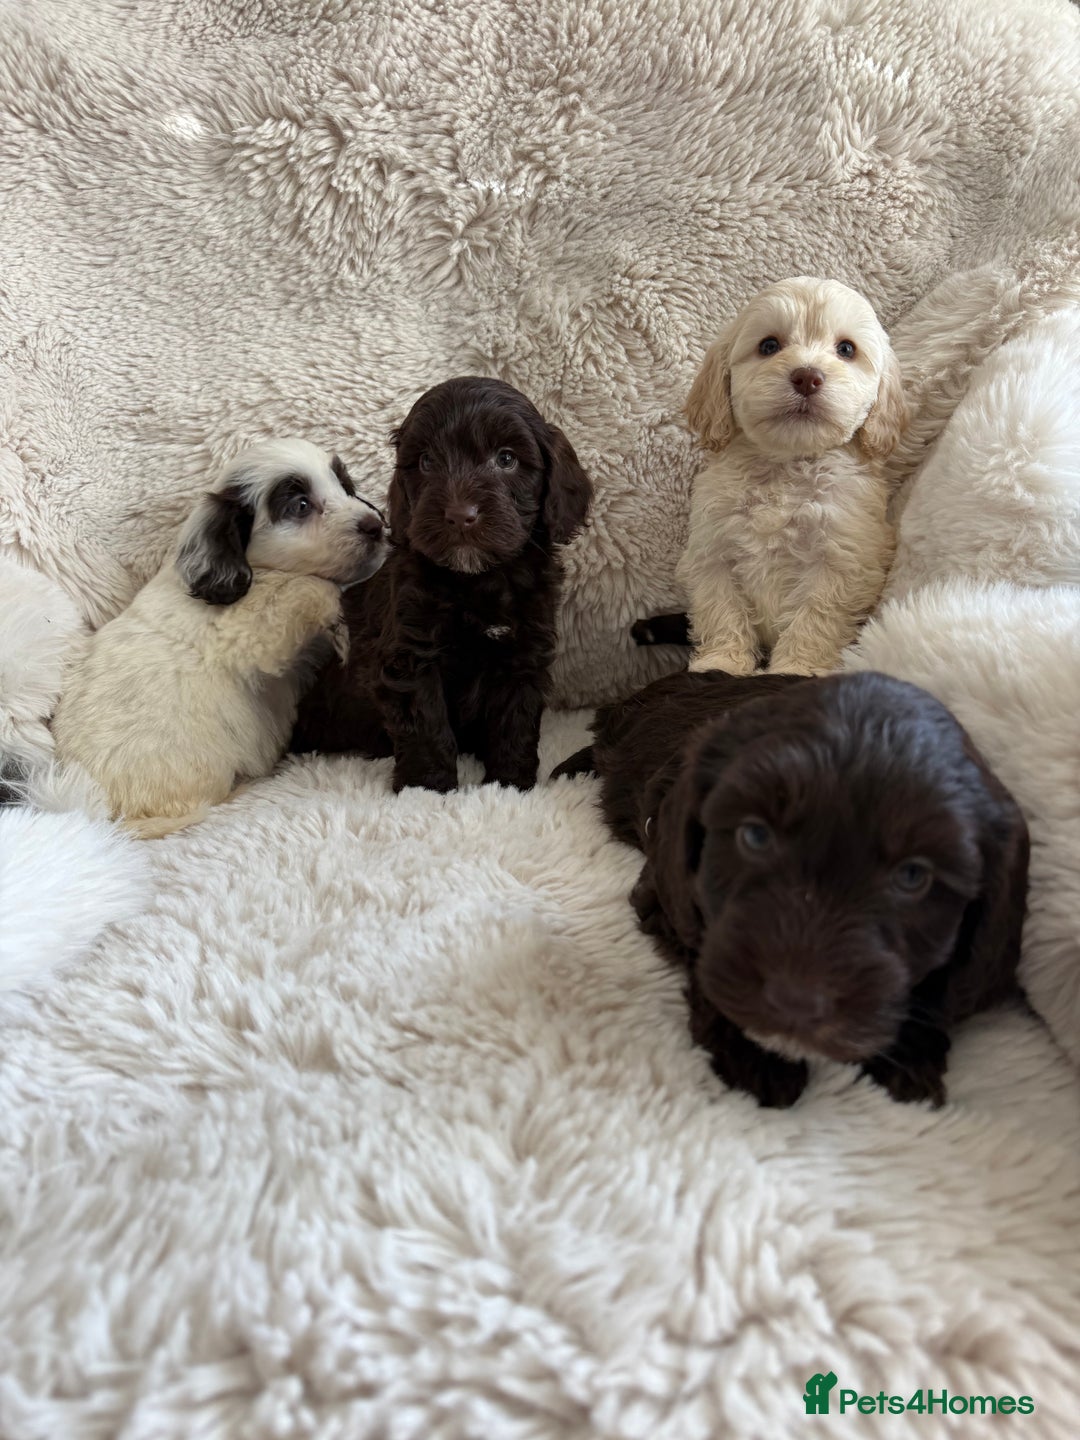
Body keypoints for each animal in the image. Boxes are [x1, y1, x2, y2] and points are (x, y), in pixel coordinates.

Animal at [51, 440, 389, 837]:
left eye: (346, 487)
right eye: (301, 505)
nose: (375, 526)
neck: (253, 572)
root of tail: (97, 813)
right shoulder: (256, 632)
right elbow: (312, 584)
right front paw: (341, 629)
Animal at [291, 377, 593, 793]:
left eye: (506, 459)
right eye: (426, 462)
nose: (459, 515)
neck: (478, 579)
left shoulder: (522, 653)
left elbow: (515, 720)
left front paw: (510, 783)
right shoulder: (411, 653)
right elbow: (426, 723)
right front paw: (426, 788)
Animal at [553, 669, 1029, 1108]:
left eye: (914, 876)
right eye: (755, 836)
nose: (797, 1002)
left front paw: (910, 1049)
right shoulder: (666, 892)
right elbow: (710, 949)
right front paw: (755, 1057)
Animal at [674, 276, 907, 676]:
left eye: (846, 349)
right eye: (769, 346)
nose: (807, 376)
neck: (785, 464)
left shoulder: (841, 558)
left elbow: (815, 616)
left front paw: (797, 666)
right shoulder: (712, 551)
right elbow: (721, 609)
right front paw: (723, 661)